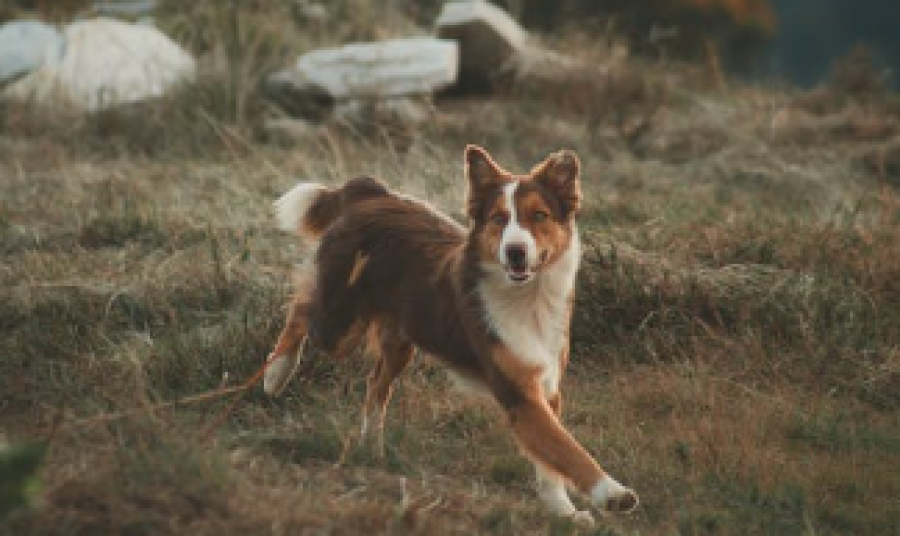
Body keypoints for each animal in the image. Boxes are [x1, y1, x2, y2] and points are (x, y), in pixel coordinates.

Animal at [264, 144, 636, 520]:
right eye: (499, 218)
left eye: (539, 215)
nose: (515, 252)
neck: (528, 299)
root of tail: (369, 193)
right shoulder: (520, 393)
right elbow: (568, 449)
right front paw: (611, 493)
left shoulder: (546, 386)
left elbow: (551, 462)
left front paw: (562, 511)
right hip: (339, 325)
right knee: (301, 308)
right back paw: (276, 373)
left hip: (400, 341)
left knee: (375, 383)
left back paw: (372, 447)